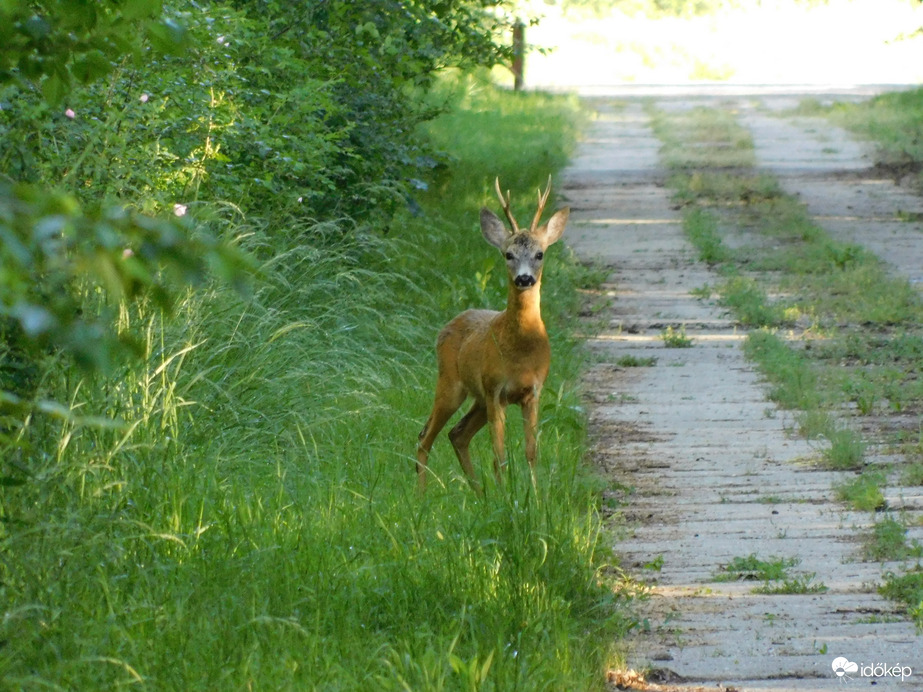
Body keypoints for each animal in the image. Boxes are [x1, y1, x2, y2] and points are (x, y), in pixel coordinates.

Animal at [416, 178, 572, 492]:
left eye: (540, 254)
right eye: (508, 254)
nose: (524, 278)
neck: (521, 351)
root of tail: (448, 325)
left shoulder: (532, 391)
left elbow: (531, 452)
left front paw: (535, 496)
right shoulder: (495, 389)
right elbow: (499, 455)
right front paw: (506, 496)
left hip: (476, 397)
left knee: (457, 433)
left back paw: (479, 492)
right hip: (452, 383)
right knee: (425, 436)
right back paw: (422, 495)